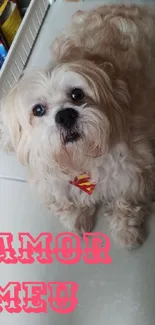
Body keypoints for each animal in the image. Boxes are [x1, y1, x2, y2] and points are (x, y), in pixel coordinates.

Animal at [0, 3, 155, 248]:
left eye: (77, 94)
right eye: (38, 110)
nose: (65, 116)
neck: (80, 160)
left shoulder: (132, 172)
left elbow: (125, 204)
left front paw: (126, 232)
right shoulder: (49, 183)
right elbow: (66, 204)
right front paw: (77, 219)